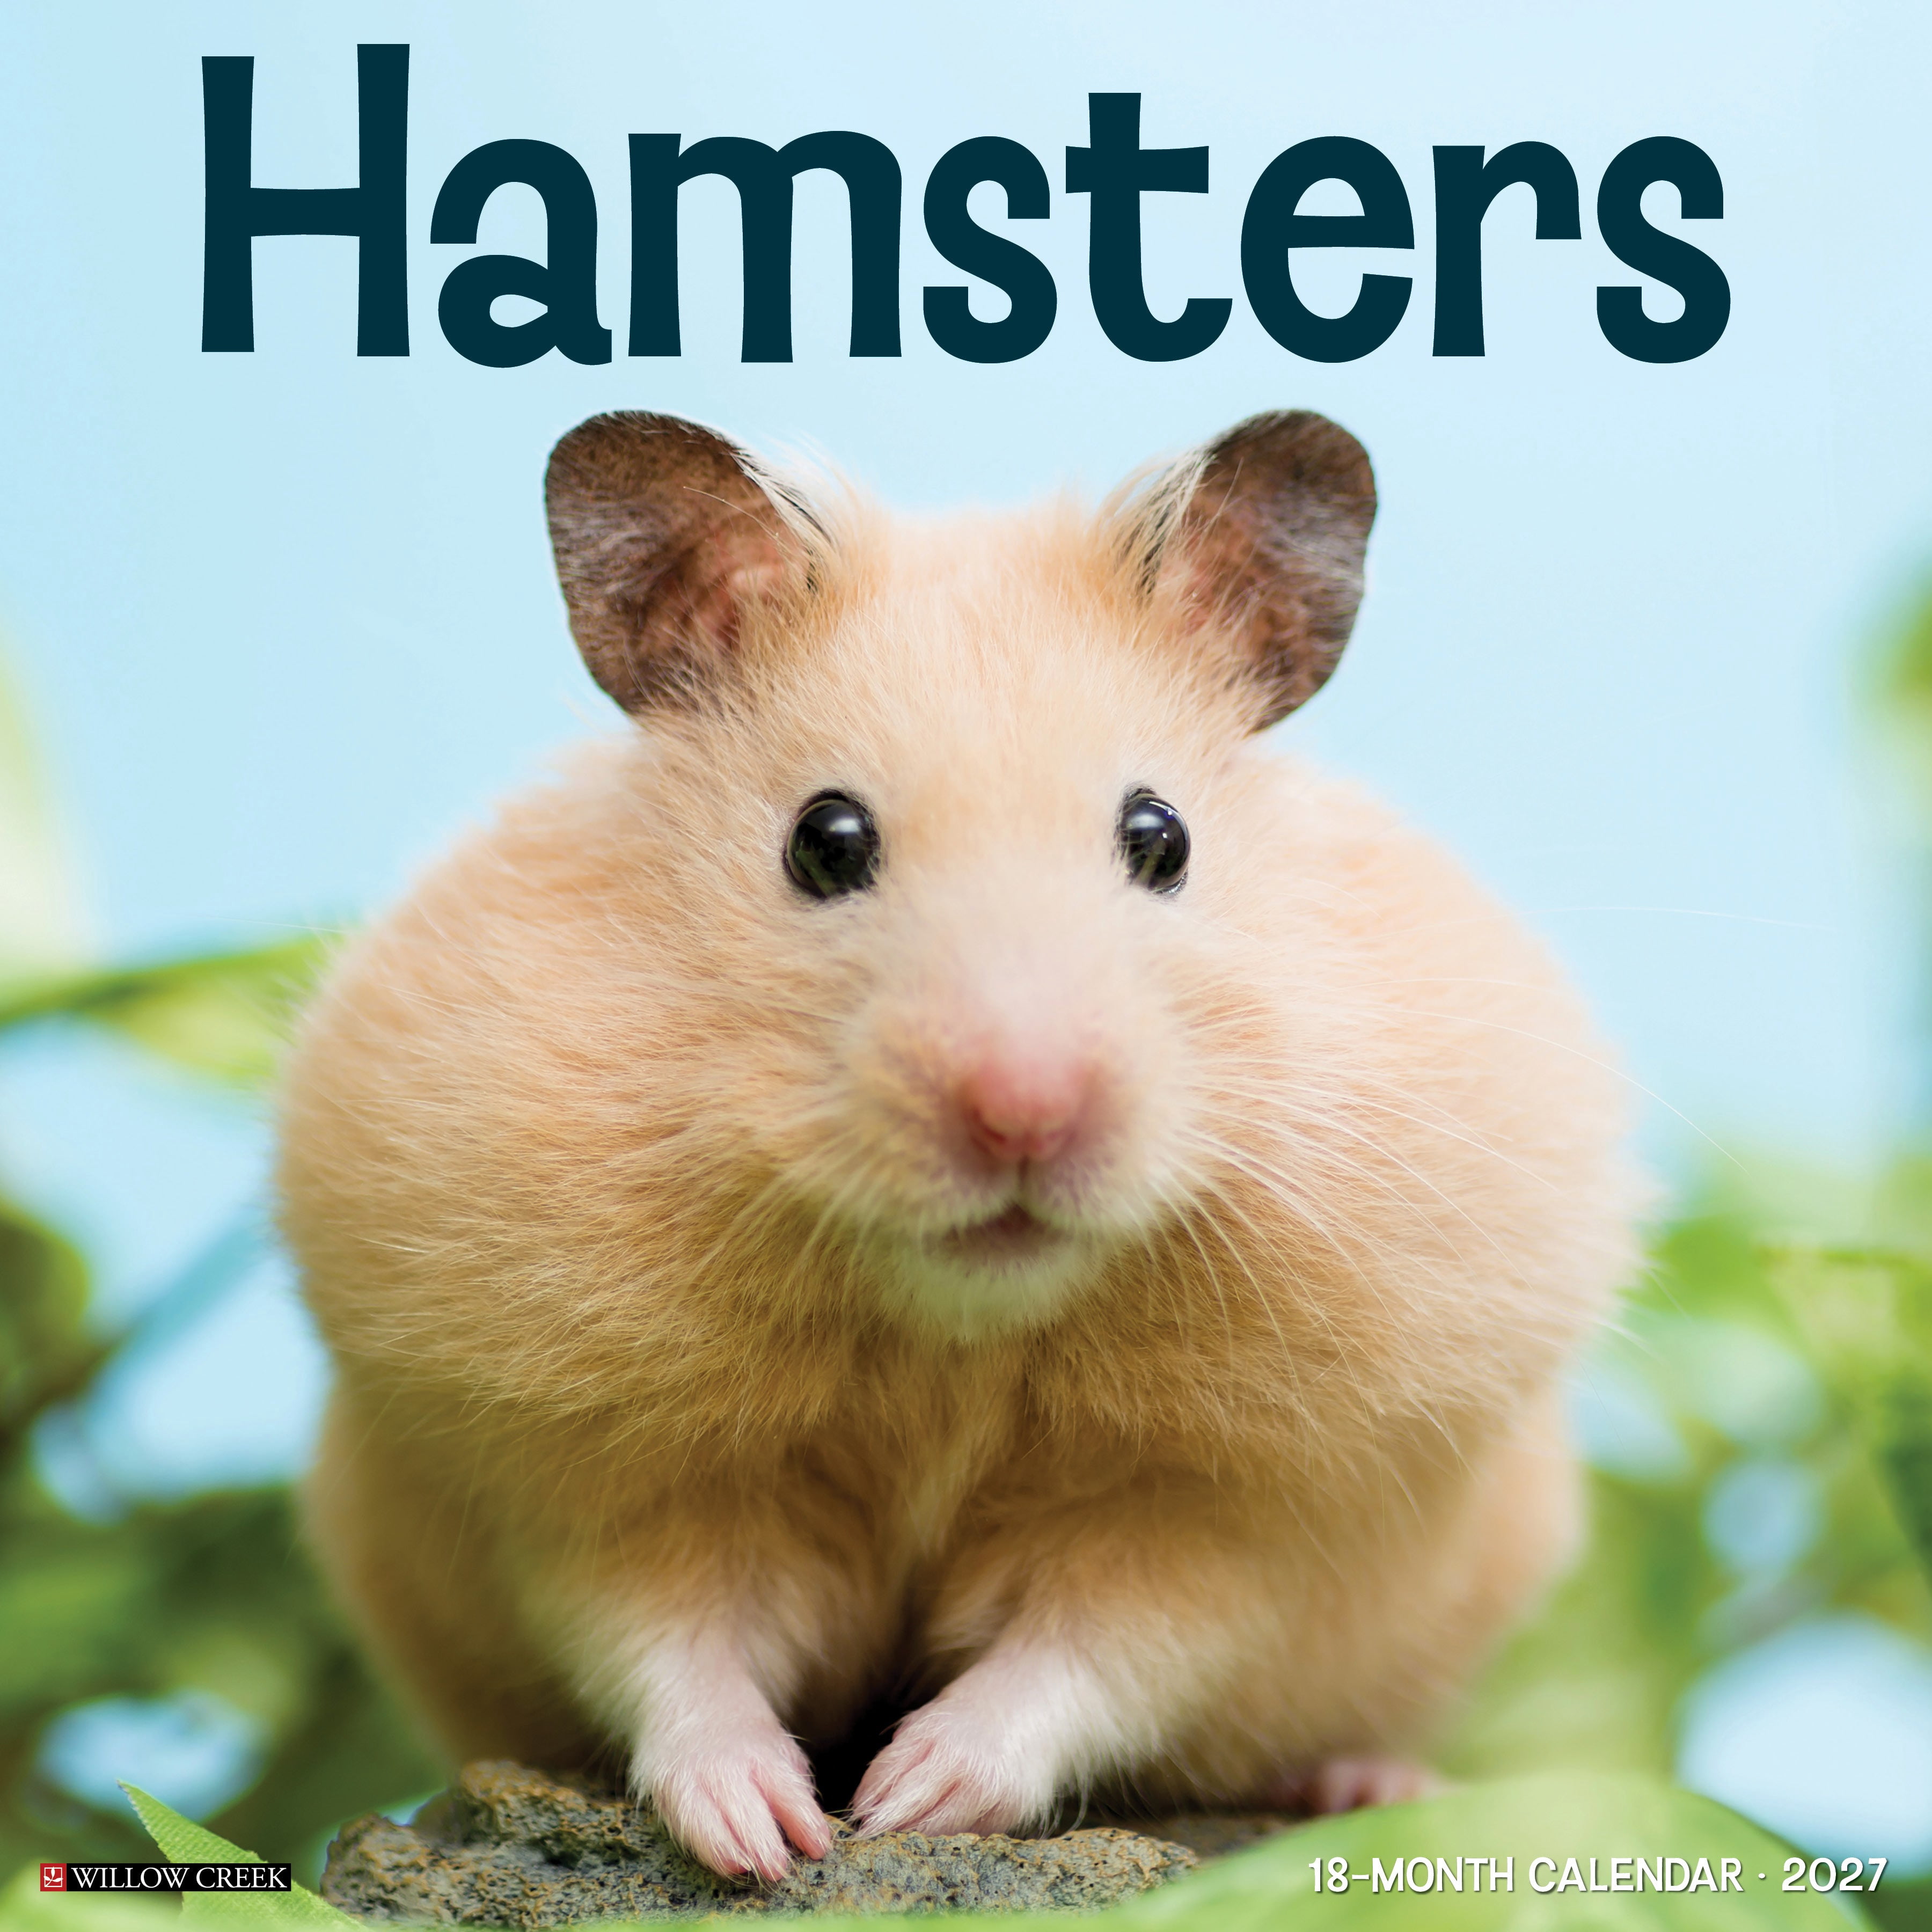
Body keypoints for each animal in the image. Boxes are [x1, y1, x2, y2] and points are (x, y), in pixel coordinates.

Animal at [277, 408, 1640, 1882]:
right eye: (825, 842)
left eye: (1160, 838)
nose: (1023, 1112)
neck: (956, 1332)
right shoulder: (597, 1474)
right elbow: (667, 1641)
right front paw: (770, 1834)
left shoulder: (1231, 1518)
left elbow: (1103, 1652)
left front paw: (908, 1795)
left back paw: (1365, 1784)